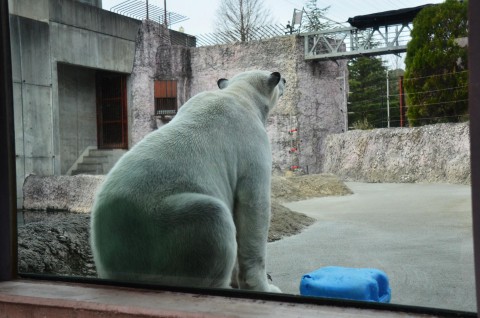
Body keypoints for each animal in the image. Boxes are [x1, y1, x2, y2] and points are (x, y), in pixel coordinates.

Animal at [90, 70, 284, 294]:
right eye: (280, 79)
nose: (285, 80)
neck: (240, 95)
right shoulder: (251, 143)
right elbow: (254, 207)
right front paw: (265, 286)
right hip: (169, 225)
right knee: (212, 218)